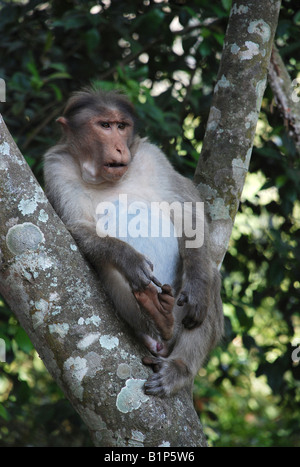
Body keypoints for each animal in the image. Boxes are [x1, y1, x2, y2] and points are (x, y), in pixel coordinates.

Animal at [43, 88, 224, 398]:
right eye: (104, 125)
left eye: (121, 126)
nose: (119, 148)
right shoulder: (56, 168)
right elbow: (76, 227)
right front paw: (129, 259)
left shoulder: (152, 157)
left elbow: (187, 208)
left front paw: (198, 283)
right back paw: (157, 314)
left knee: (211, 275)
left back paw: (179, 366)